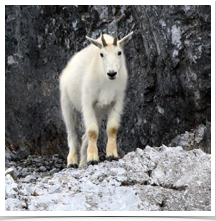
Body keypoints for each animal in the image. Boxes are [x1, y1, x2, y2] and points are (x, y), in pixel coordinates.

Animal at [59, 31, 133, 167]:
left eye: (119, 52)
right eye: (101, 54)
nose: (112, 73)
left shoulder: (117, 101)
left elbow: (112, 129)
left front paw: (112, 155)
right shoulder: (88, 101)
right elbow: (92, 131)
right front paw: (93, 158)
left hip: (98, 112)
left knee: (84, 136)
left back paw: (83, 162)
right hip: (66, 102)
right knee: (71, 133)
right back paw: (72, 161)